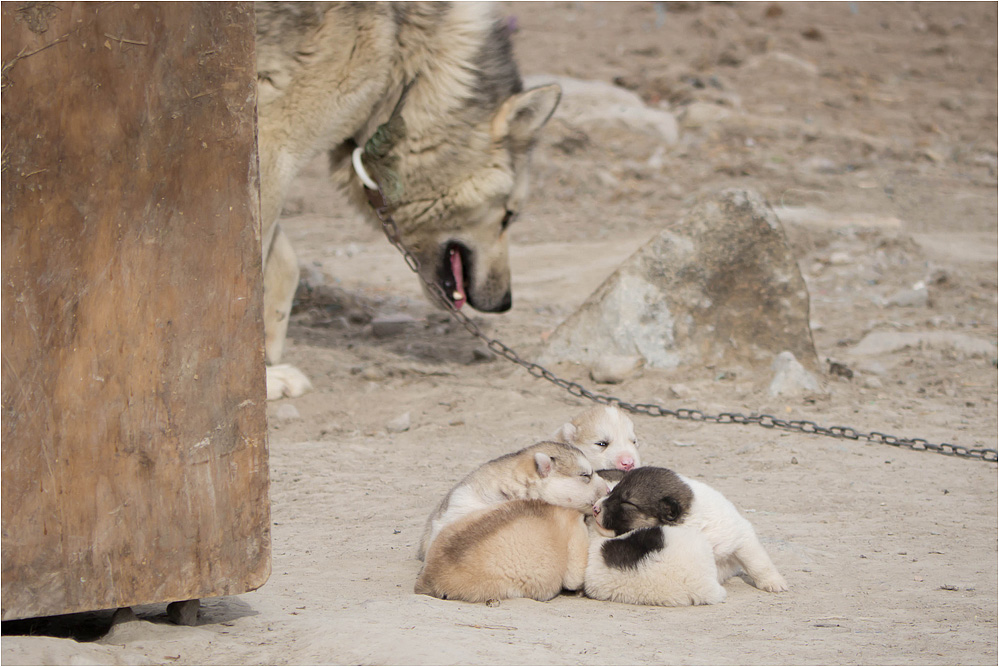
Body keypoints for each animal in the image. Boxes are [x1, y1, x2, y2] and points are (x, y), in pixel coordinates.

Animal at [254, 2, 564, 400]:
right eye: (509, 216)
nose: (505, 303)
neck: (405, 64)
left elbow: (283, 264)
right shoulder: (272, 147)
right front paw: (262, 378)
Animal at [588, 468, 784, 592]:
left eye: (627, 503)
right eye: (612, 491)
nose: (595, 508)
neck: (693, 522)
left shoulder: (739, 534)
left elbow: (758, 561)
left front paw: (773, 582)